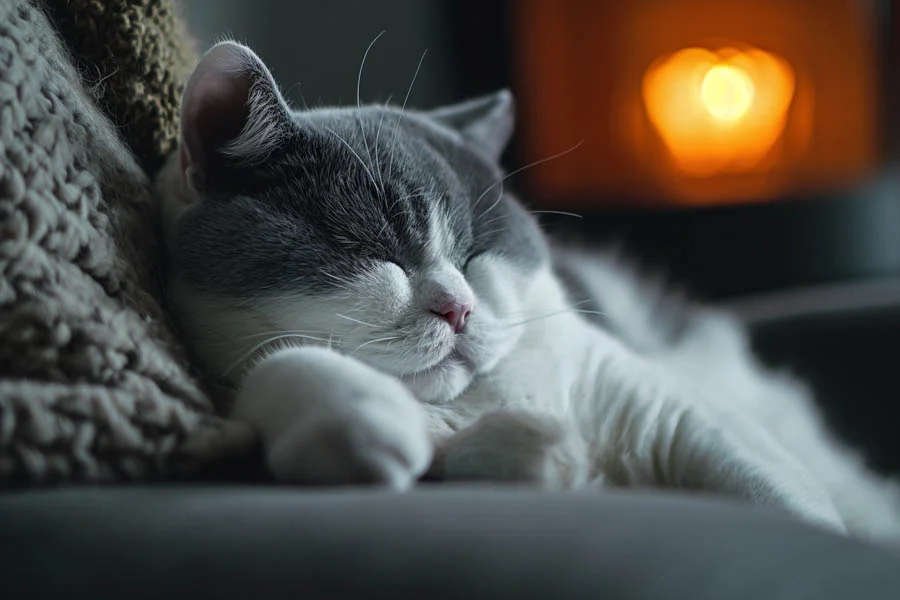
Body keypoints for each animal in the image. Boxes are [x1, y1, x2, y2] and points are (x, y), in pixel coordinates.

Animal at [158, 41, 900, 540]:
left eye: (474, 251)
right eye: (369, 250)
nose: (458, 307)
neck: (484, 399)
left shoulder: (668, 408)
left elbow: (784, 496)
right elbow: (282, 365)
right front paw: (370, 425)